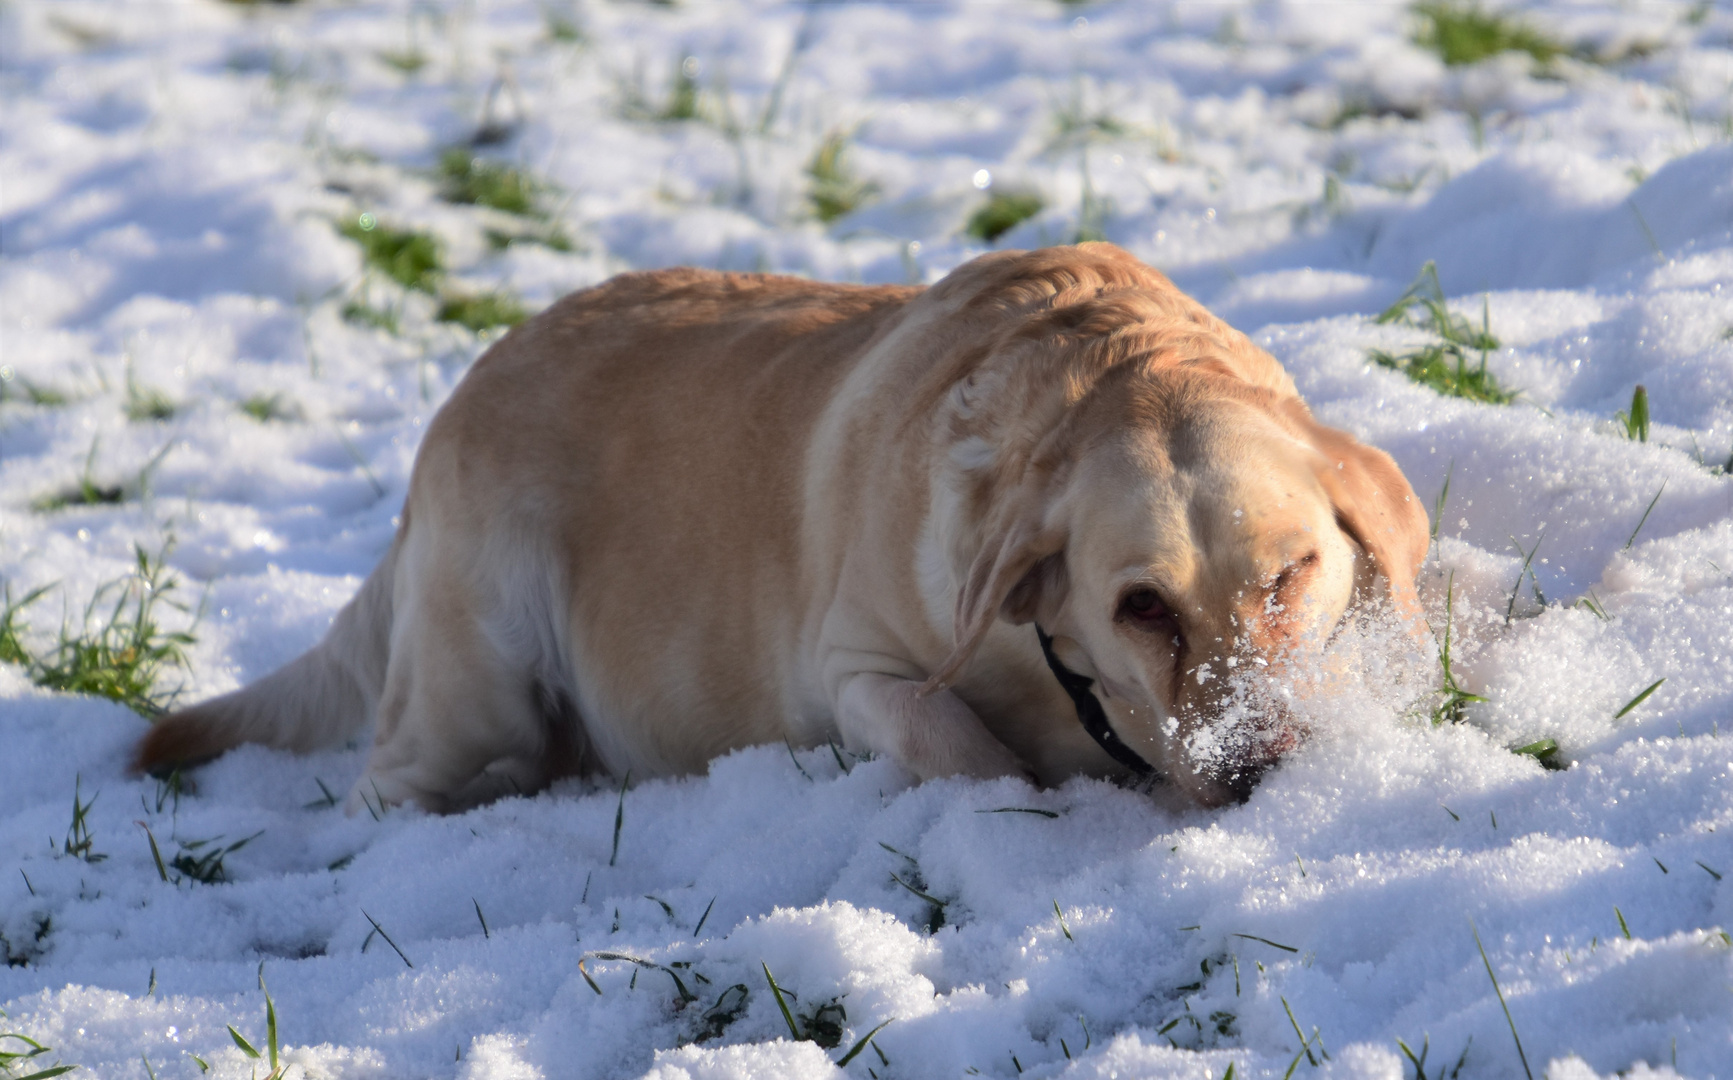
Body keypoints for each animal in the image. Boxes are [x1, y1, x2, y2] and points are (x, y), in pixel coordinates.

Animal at [135, 244, 1427, 811]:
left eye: (1291, 572)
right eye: (1139, 605)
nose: (1258, 771)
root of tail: (456, 401)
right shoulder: (853, 664)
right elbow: (951, 733)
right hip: (476, 668)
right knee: (384, 780)